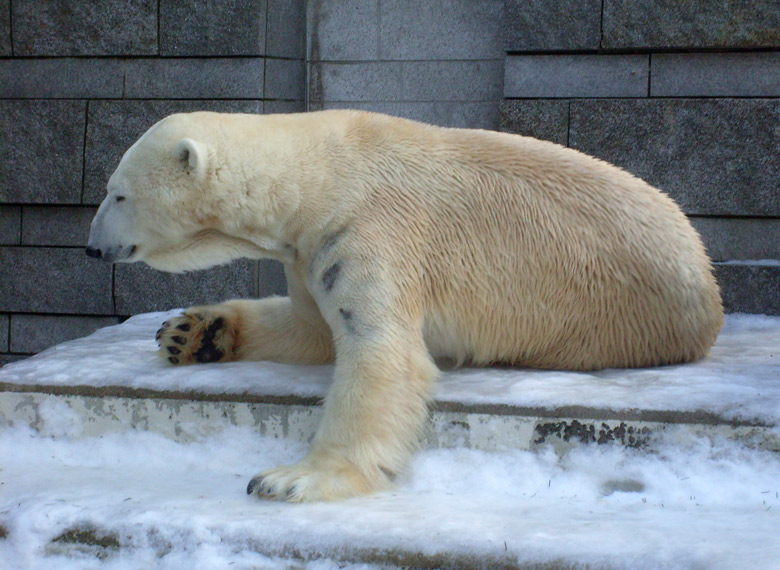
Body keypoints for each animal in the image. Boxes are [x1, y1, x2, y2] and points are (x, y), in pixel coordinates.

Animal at [87, 108, 724, 500]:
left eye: (117, 194)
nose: (91, 247)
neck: (318, 177)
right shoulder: (309, 249)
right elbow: (309, 328)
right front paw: (188, 332)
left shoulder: (371, 230)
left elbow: (381, 355)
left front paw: (292, 479)